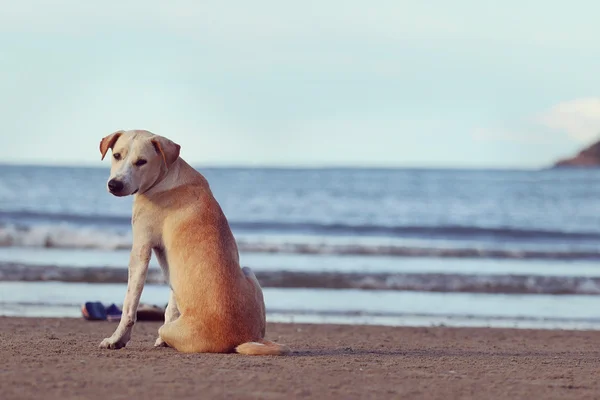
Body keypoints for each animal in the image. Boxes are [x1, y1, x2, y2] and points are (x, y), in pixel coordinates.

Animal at [99, 130, 290, 354]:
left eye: (141, 161)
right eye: (117, 155)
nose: (115, 184)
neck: (166, 177)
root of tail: (243, 338)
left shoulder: (140, 249)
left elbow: (129, 305)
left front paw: (116, 339)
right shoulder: (170, 266)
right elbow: (172, 305)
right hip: (249, 272)